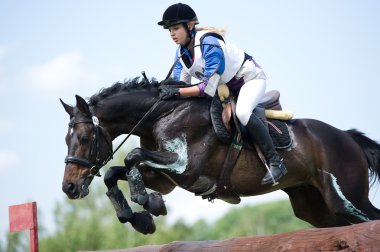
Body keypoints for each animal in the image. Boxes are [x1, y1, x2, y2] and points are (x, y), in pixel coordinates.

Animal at [59, 78, 380, 234]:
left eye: (84, 139)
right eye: (66, 139)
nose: (69, 187)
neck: (161, 114)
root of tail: (347, 137)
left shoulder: (185, 168)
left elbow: (131, 157)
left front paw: (148, 204)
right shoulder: (163, 177)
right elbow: (115, 172)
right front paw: (137, 218)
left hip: (347, 199)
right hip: (315, 208)